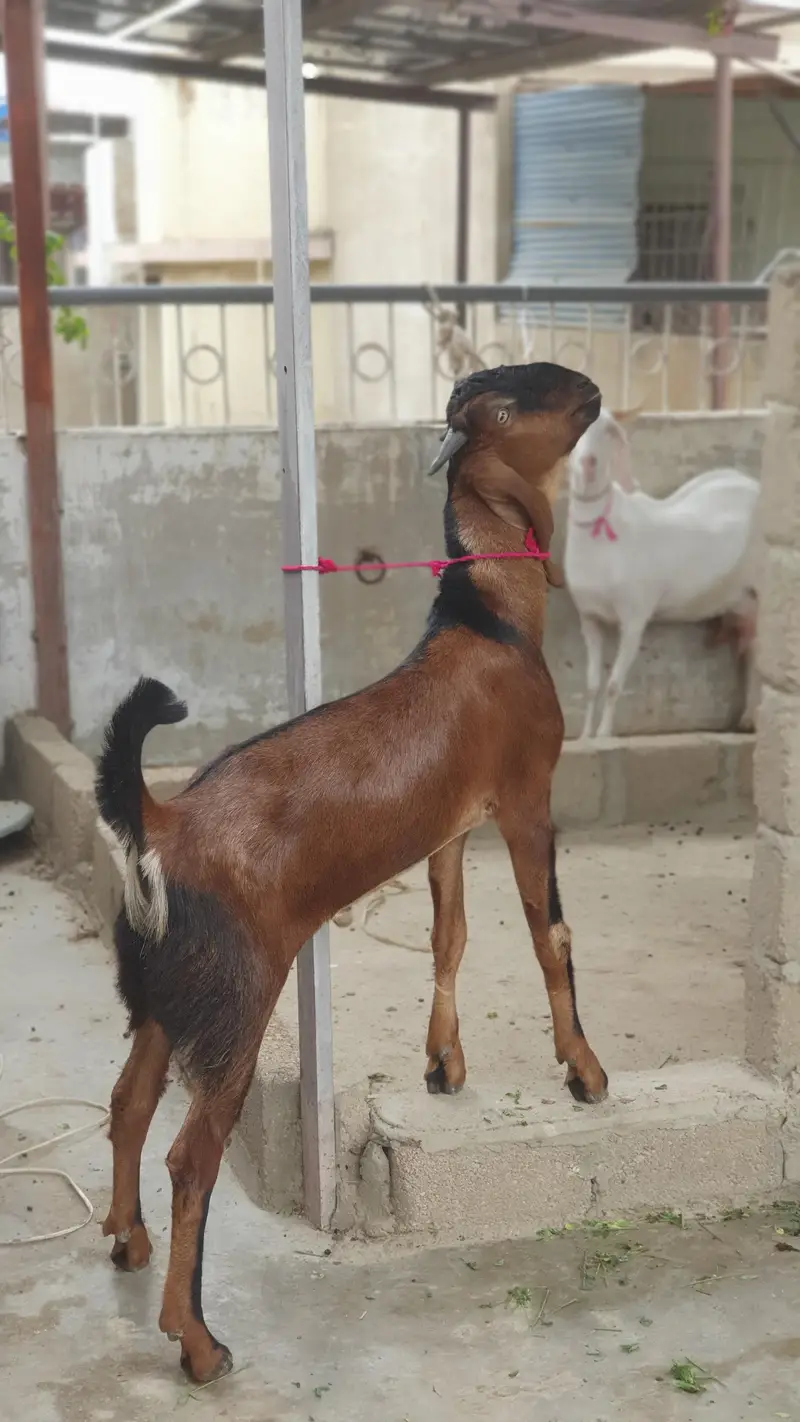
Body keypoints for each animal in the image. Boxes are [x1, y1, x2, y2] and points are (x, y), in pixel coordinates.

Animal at [95, 361, 606, 1385]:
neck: (490, 622)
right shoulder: (526, 798)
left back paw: (126, 1241)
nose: (593, 385)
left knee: (129, 1107)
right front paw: (584, 1071)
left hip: (167, 990)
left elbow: (450, 931)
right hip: (240, 998)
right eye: (522, 394)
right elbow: (550, 935)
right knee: (189, 1158)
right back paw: (198, 1341)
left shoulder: (452, 826)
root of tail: (158, 821)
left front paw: (445, 1063)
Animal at [564, 407, 760, 738]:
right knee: (751, 653)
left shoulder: (634, 617)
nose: (589, 463)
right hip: (744, 600)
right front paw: (586, 735)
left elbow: (614, 685)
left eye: (608, 430)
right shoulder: (589, 618)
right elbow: (591, 685)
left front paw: (604, 735)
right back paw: (746, 717)